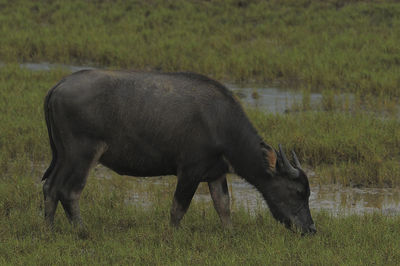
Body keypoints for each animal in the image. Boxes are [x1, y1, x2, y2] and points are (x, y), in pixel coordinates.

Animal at [41, 69, 316, 234]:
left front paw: (230, 233)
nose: (310, 229)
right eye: (298, 192)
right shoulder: (189, 171)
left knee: (50, 187)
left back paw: (49, 229)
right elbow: (178, 208)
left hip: (62, 155)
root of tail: (58, 86)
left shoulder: (216, 173)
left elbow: (223, 205)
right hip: (82, 154)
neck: (221, 124)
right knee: (69, 191)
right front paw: (172, 235)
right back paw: (81, 231)